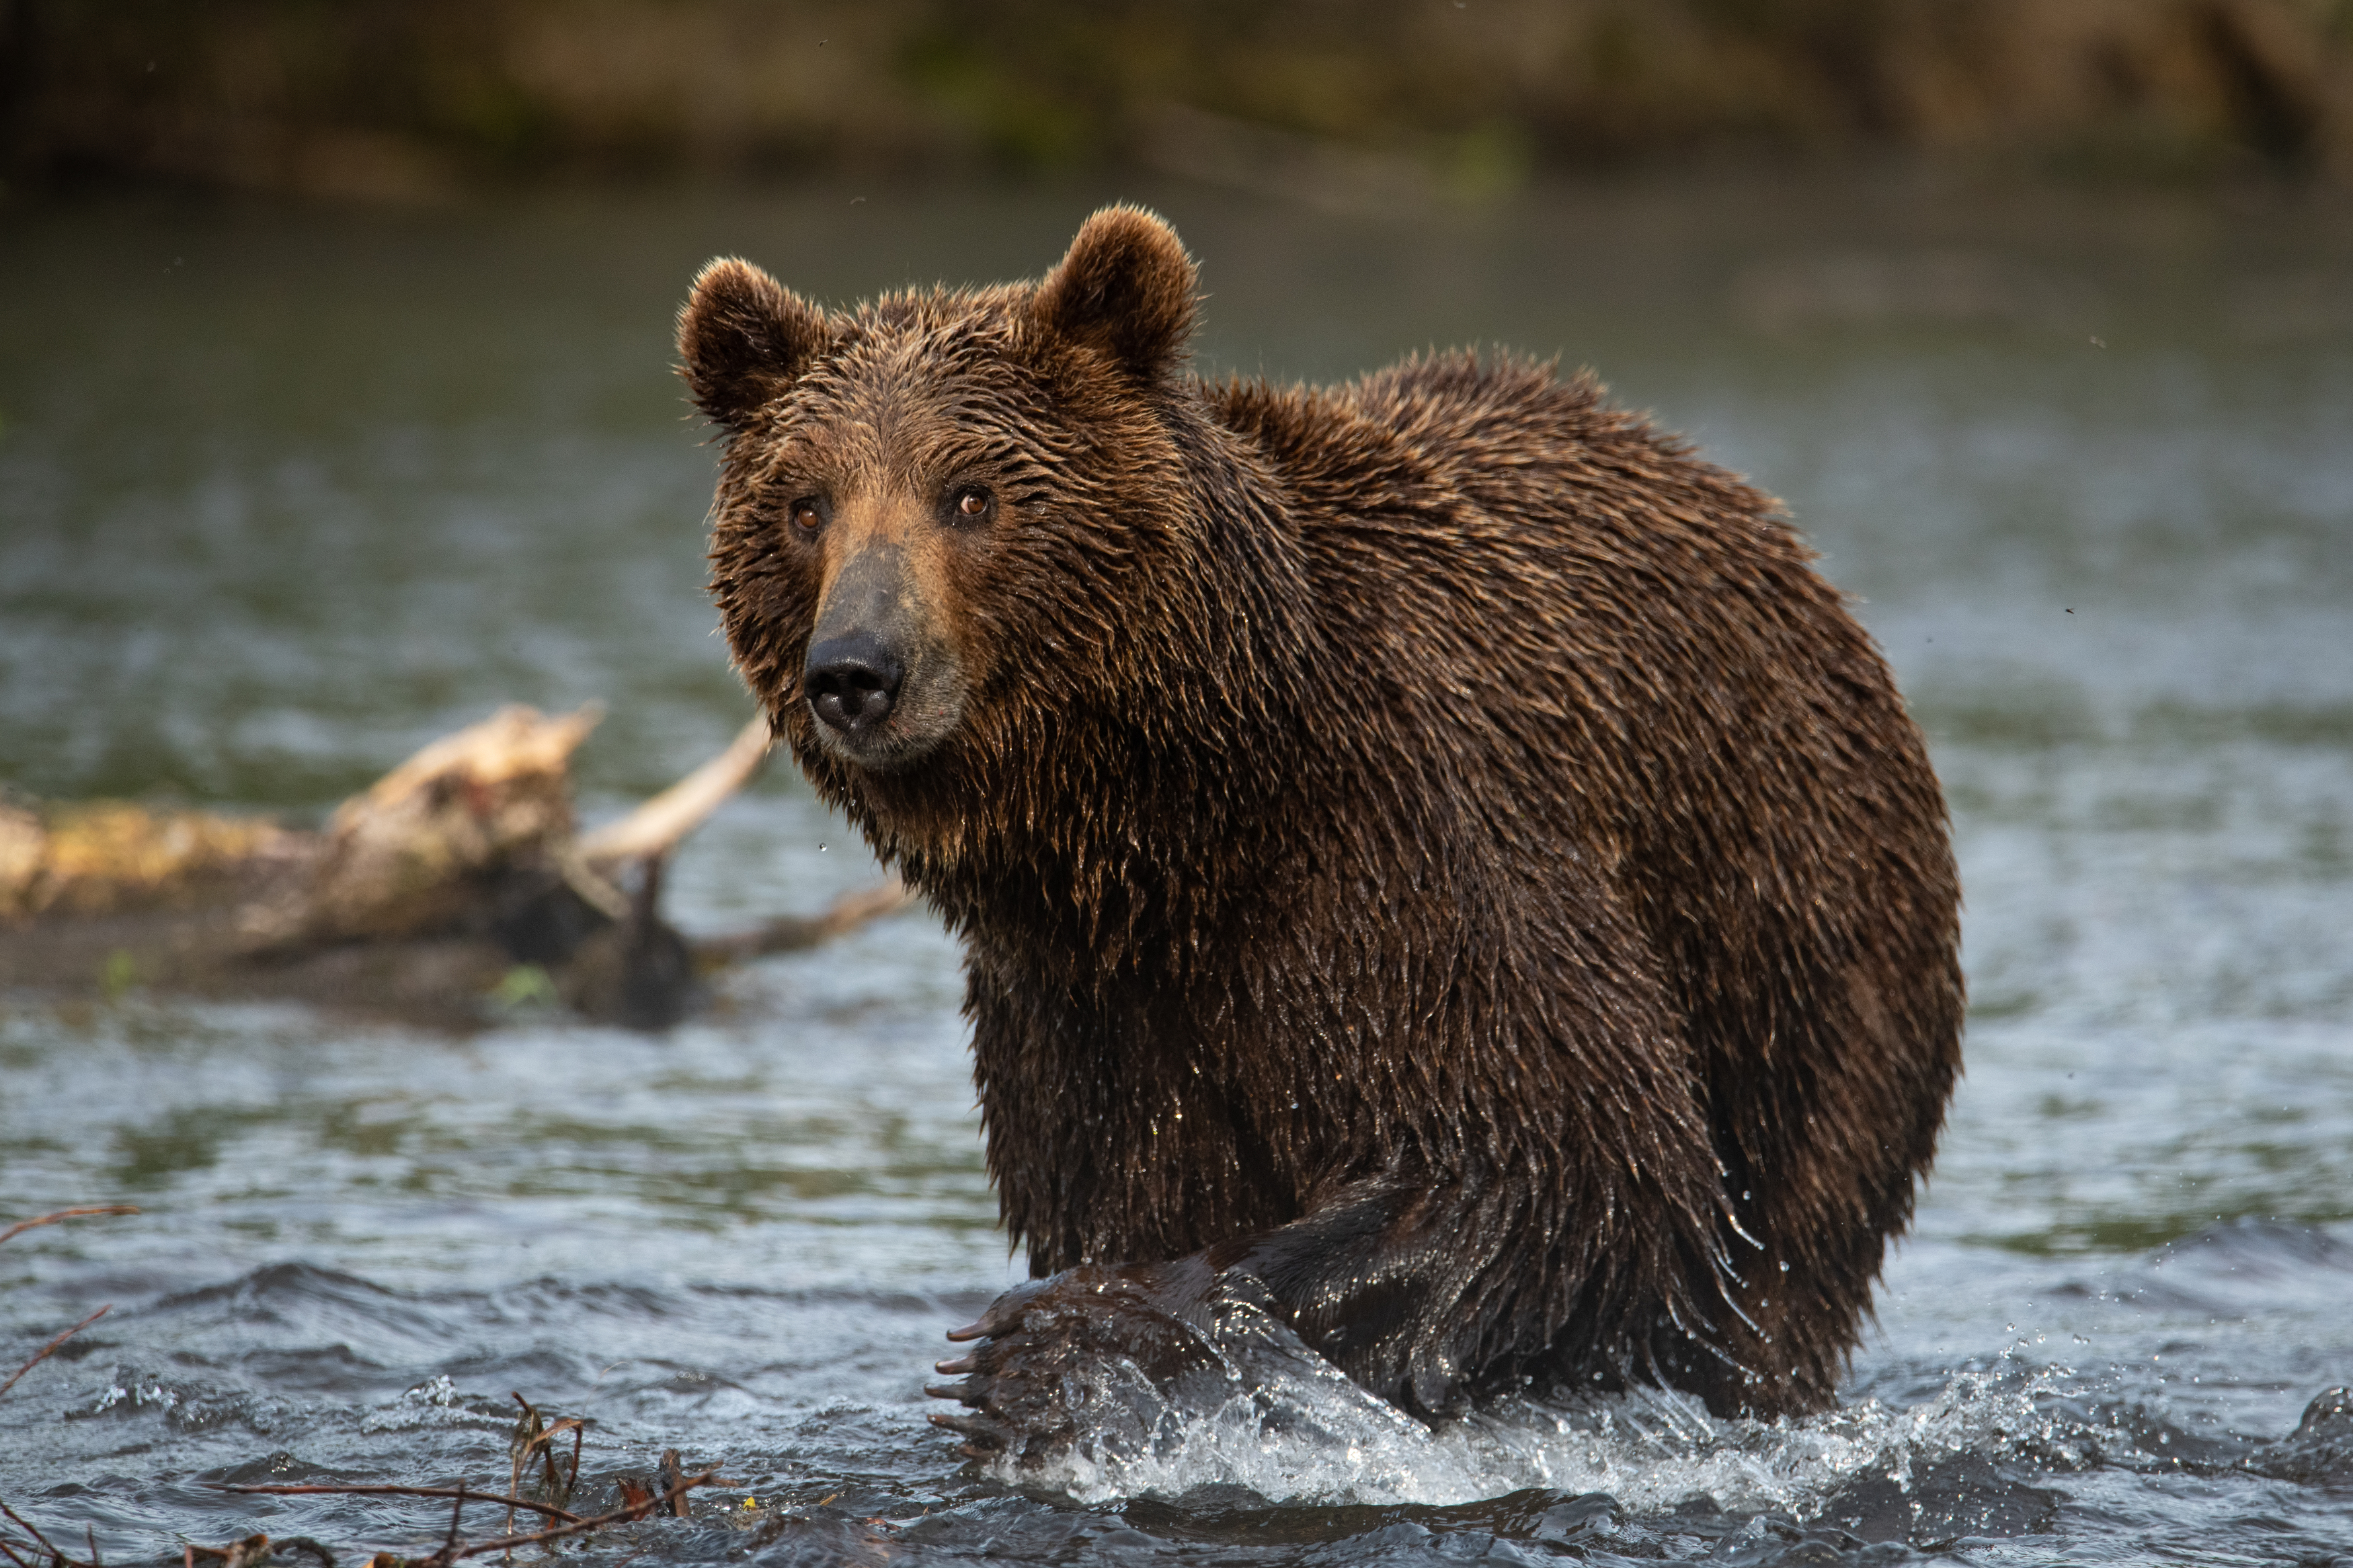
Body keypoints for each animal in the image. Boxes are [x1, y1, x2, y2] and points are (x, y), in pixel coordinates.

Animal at [678, 206, 1967, 1457]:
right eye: (804, 505)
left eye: (971, 494)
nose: (857, 671)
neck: (1184, 814)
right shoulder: (1088, 1006)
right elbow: (1138, 1180)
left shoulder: (1411, 847)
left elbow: (1556, 1145)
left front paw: (1061, 1341)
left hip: (1802, 937)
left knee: (1789, 1242)